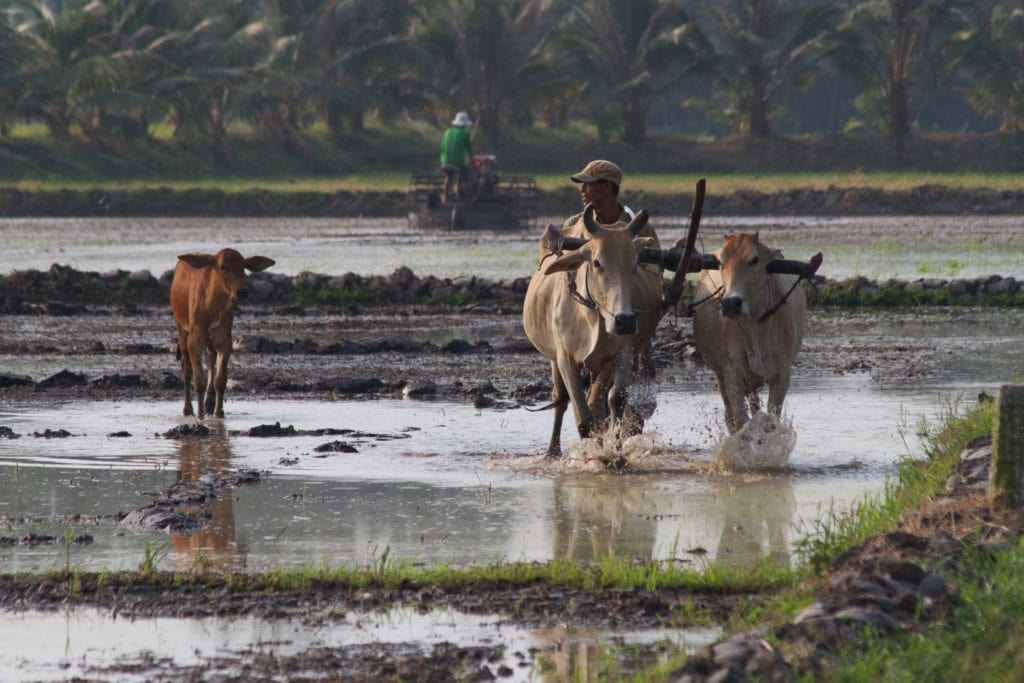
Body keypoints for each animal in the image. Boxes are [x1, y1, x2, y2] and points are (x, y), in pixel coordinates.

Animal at [170, 248, 275, 418]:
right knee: (186, 368)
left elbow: (220, 380)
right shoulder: (195, 340)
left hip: (209, 341)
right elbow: (199, 380)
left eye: (243, 266)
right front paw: (200, 415)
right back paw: (188, 409)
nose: (242, 291)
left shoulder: (225, 340)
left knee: (210, 360)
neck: (212, 307)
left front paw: (219, 412)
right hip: (181, 329)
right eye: (222, 266)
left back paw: (209, 403)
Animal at [522, 204, 662, 458]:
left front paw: (615, 454)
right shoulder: (565, 357)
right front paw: (594, 456)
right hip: (553, 359)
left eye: (635, 265)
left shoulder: (621, 354)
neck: (590, 316)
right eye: (597, 263)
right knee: (560, 398)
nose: (625, 321)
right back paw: (552, 451)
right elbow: (583, 416)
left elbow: (613, 401)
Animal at [692, 232, 807, 434]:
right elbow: (740, 421)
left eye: (754, 259)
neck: (754, 328)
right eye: (721, 262)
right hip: (721, 375)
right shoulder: (731, 373)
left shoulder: (782, 375)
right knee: (731, 416)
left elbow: (771, 421)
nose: (730, 303)